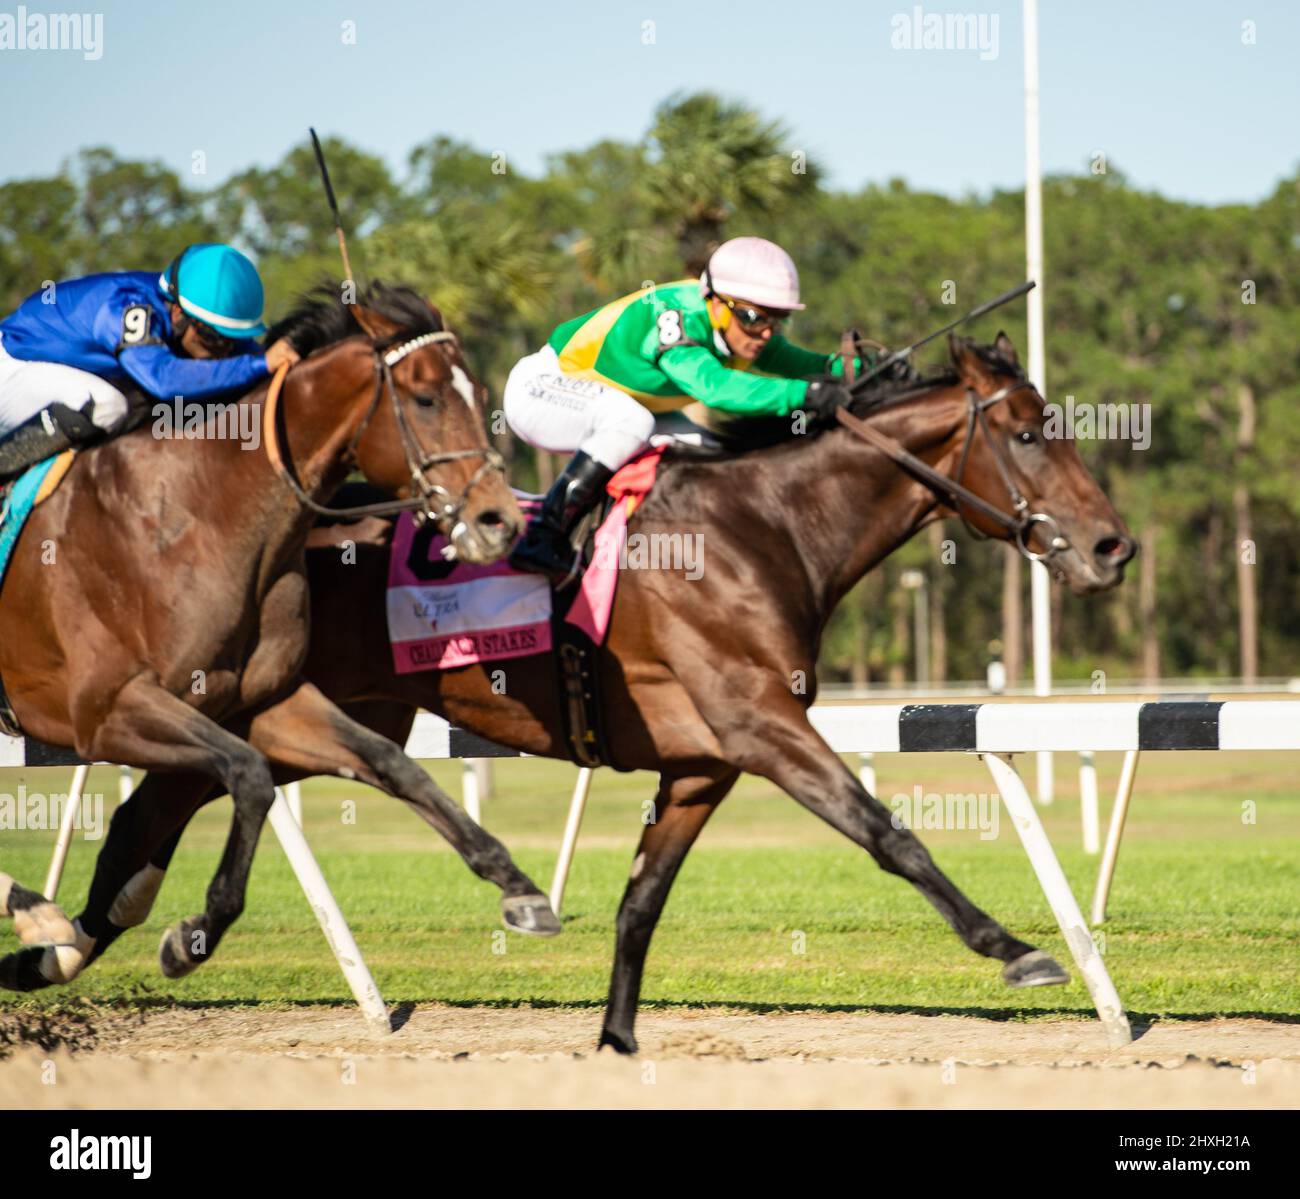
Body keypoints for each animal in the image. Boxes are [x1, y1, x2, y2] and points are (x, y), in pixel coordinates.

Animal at [0, 282, 556, 988]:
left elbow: (391, 763)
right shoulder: (107, 709)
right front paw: (194, 932)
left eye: (481, 396)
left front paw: (519, 887)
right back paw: (36, 915)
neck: (196, 515)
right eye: (427, 397)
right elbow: (251, 775)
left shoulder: (261, 701)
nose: (498, 521)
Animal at [25, 332, 1133, 1045]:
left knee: (152, 817)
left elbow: (642, 900)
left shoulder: (703, 761)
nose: (1112, 546)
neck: (765, 523)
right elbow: (887, 831)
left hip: (282, 709)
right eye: (1028, 433)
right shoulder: (759, 721)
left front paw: (615, 1038)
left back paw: (68, 947)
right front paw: (1016, 948)